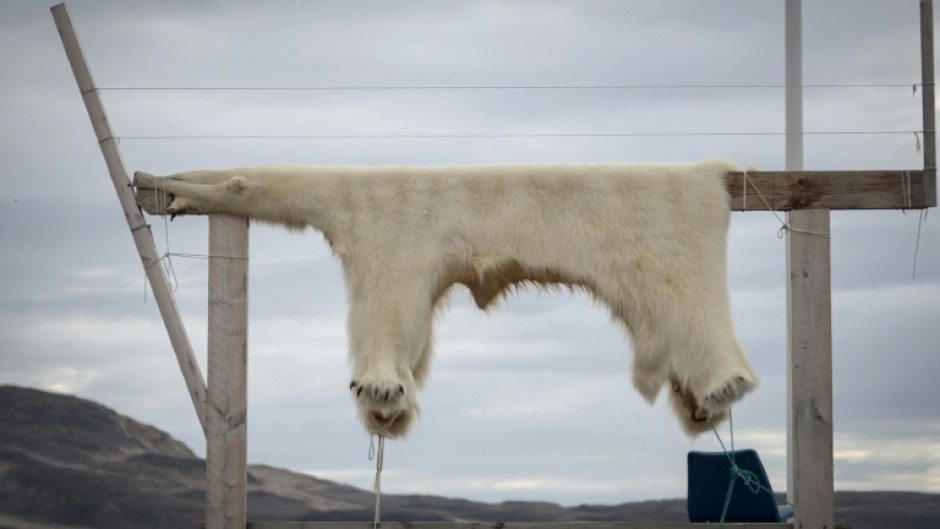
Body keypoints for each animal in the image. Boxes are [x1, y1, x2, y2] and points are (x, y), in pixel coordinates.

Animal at [133, 159, 758, 438]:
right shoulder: (382, 227)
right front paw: (165, 185)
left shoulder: (388, 228)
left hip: (673, 225)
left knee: (692, 301)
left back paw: (723, 384)